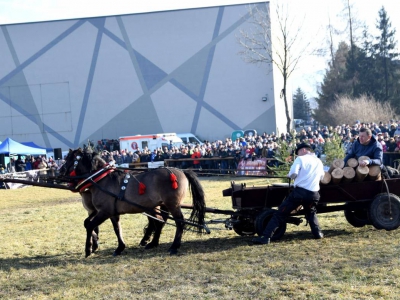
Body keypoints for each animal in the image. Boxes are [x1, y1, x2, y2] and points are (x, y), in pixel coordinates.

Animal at [61, 148, 208, 255]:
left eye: (69, 159)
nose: (60, 171)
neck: (101, 180)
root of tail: (182, 171)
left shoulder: (104, 212)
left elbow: (90, 225)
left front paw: (88, 249)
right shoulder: (111, 213)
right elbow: (116, 229)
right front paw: (120, 247)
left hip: (173, 204)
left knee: (179, 222)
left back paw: (174, 246)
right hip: (161, 205)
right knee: (160, 221)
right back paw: (153, 243)